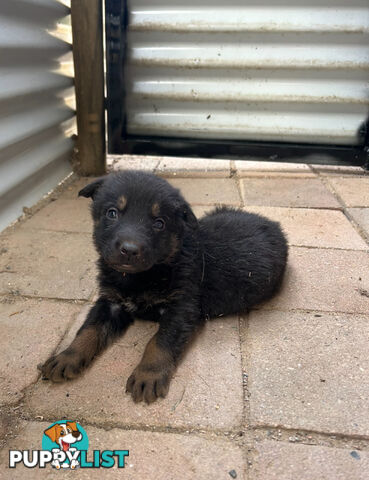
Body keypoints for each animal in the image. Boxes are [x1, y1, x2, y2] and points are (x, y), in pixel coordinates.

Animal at [39, 171, 288, 404]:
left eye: (159, 223)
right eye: (112, 213)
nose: (129, 250)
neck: (141, 275)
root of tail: (273, 224)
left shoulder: (181, 307)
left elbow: (160, 341)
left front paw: (148, 374)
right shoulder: (110, 301)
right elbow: (88, 329)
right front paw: (67, 356)